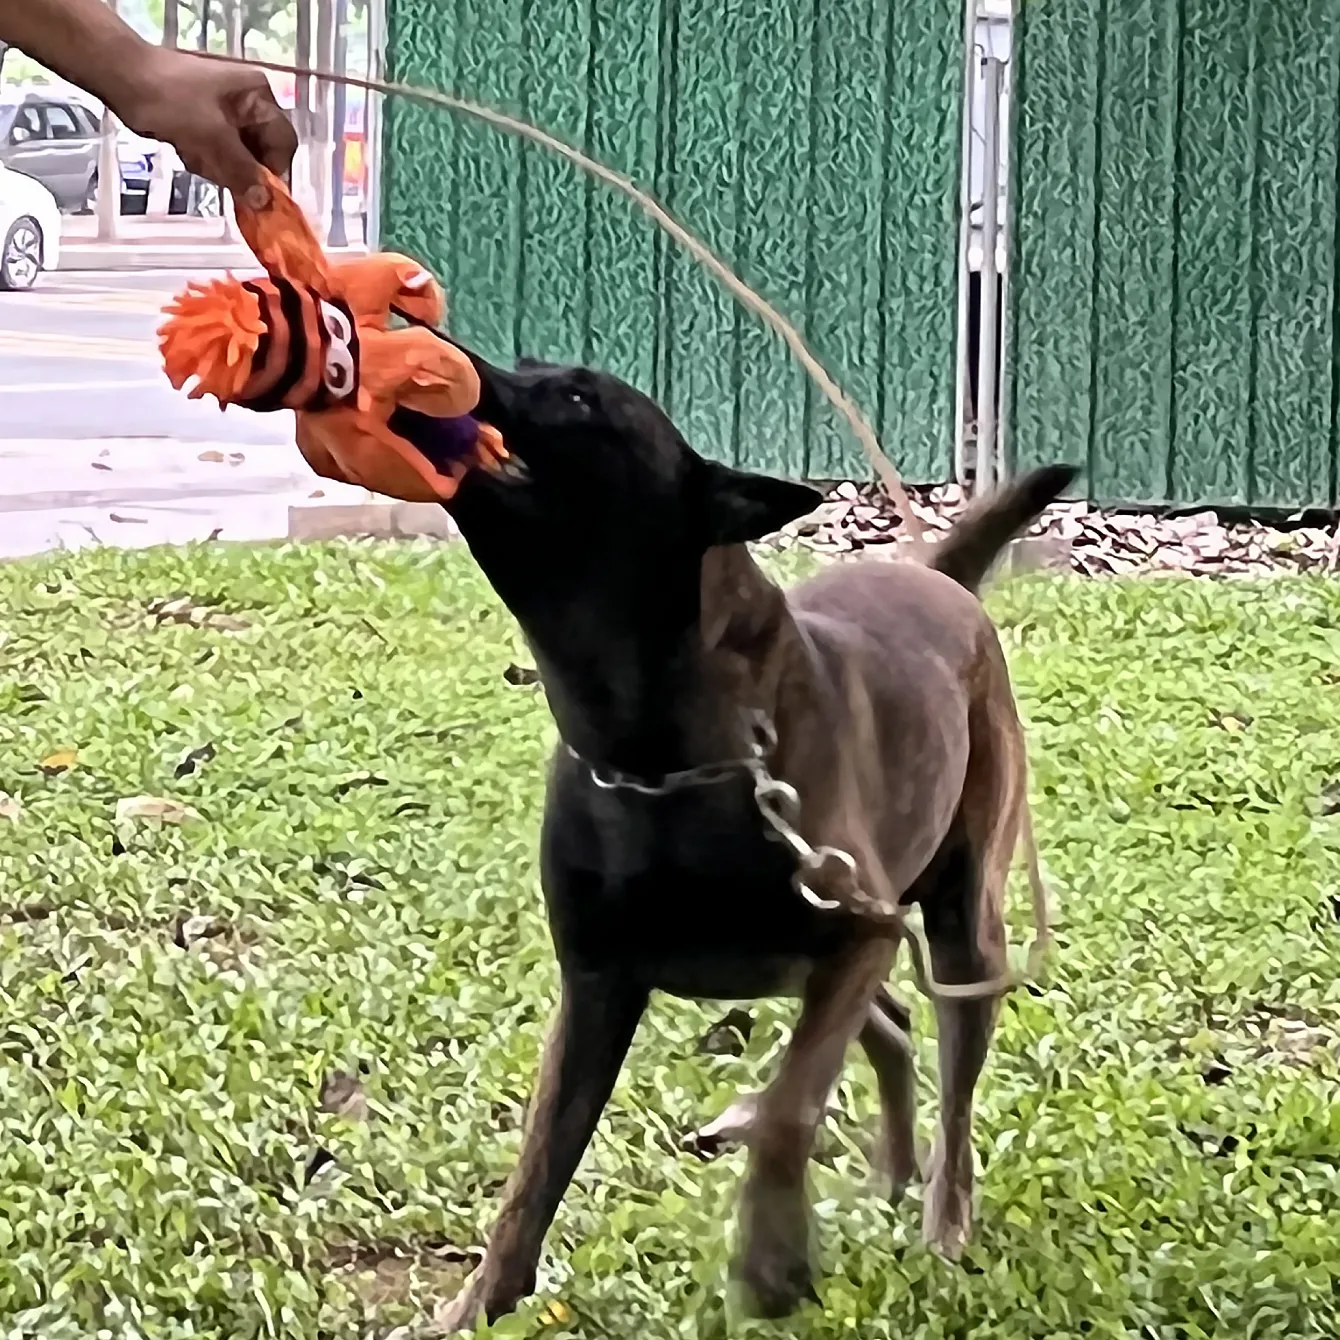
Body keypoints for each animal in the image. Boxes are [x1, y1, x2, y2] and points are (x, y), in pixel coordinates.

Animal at [418, 351, 1077, 1334]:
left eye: (579, 396)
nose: (448, 360)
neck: (659, 760)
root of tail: (942, 577)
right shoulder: (597, 986)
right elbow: (536, 1169)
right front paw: (480, 1304)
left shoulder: (862, 933)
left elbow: (788, 1110)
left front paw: (771, 1261)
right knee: (889, 1027)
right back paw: (890, 1176)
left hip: (962, 932)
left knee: (949, 1079)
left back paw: (942, 1220)